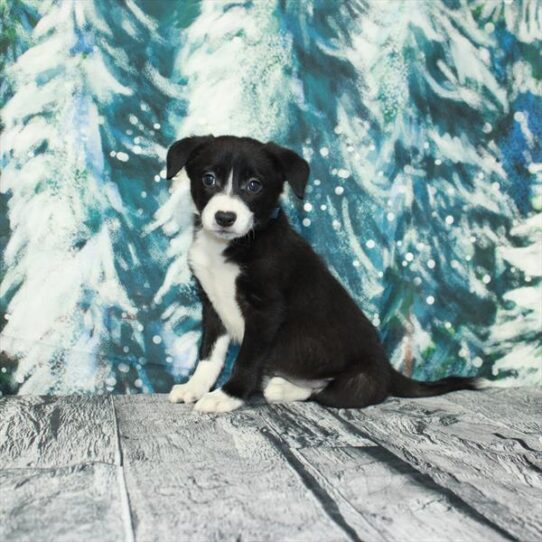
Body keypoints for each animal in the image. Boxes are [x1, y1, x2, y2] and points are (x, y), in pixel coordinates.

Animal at [168, 136, 482, 412]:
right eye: (208, 179)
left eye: (254, 185)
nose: (225, 218)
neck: (234, 245)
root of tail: (389, 369)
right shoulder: (213, 306)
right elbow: (209, 355)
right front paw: (194, 387)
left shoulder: (266, 313)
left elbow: (245, 360)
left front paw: (227, 396)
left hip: (358, 382)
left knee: (322, 392)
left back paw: (284, 388)